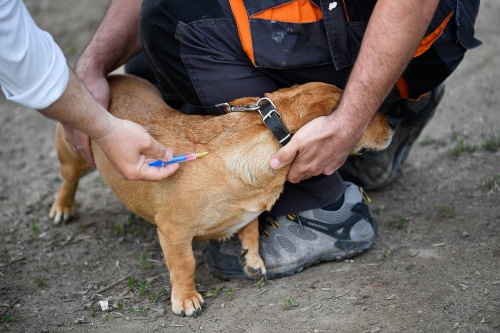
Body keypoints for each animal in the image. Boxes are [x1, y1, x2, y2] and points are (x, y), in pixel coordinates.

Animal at [49, 75, 394, 316]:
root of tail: (111, 77)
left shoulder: (248, 213)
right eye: (365, 117)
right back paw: (61, 208)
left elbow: (251, 231)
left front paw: (252, 259)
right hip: (73, 155)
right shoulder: (173, 232)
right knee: (68, 181)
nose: (393, 121)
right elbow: (184, 265)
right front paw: (186, 299)